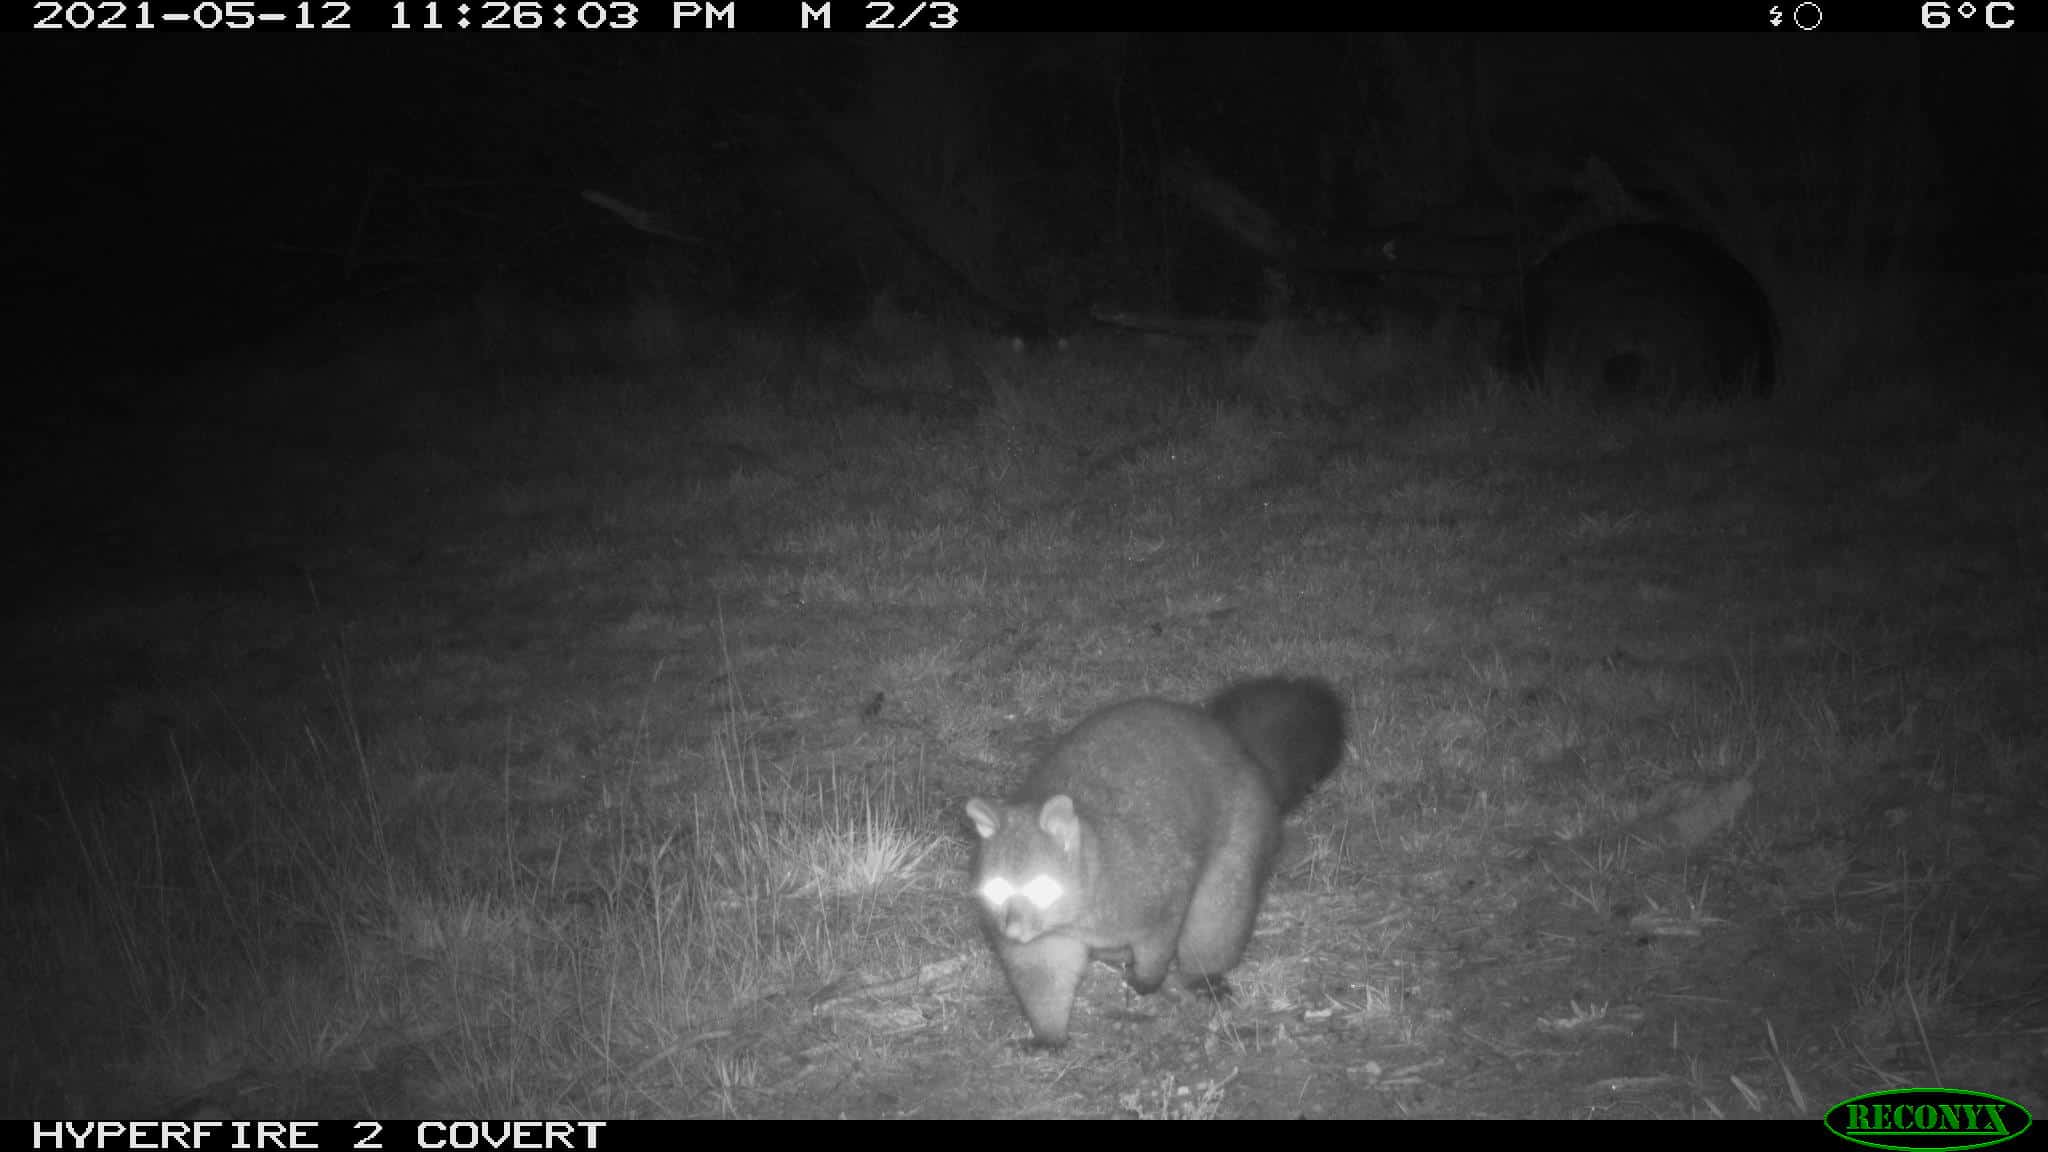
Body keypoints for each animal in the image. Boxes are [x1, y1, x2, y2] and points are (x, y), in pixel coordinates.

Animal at [964, 676, 1345, 1047]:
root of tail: (1241, 747)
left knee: (1217, 911)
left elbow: (1162, 932)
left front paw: (1147, 980)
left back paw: (1204, 977)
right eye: (997, 889)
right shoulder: (1045, 934)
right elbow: (1041, 973)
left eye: (1043, 887)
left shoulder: (1147, 885)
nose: (1012, 930)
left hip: (1245, 828)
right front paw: (1047, 1038)